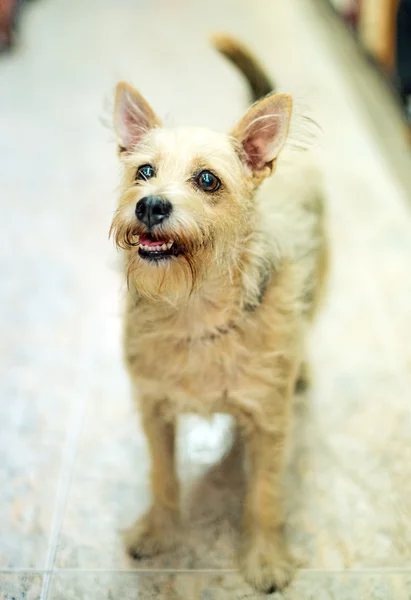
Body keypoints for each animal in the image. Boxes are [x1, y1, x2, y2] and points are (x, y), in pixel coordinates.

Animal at [109, 35, 328, 592]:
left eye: (207, 179)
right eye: (144, 172)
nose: (150, 205)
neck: (195, 311)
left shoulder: (270, 425)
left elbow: (264, 496)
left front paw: (265, 558)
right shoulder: (154, 412)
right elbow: (163, 478)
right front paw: (158, 531)